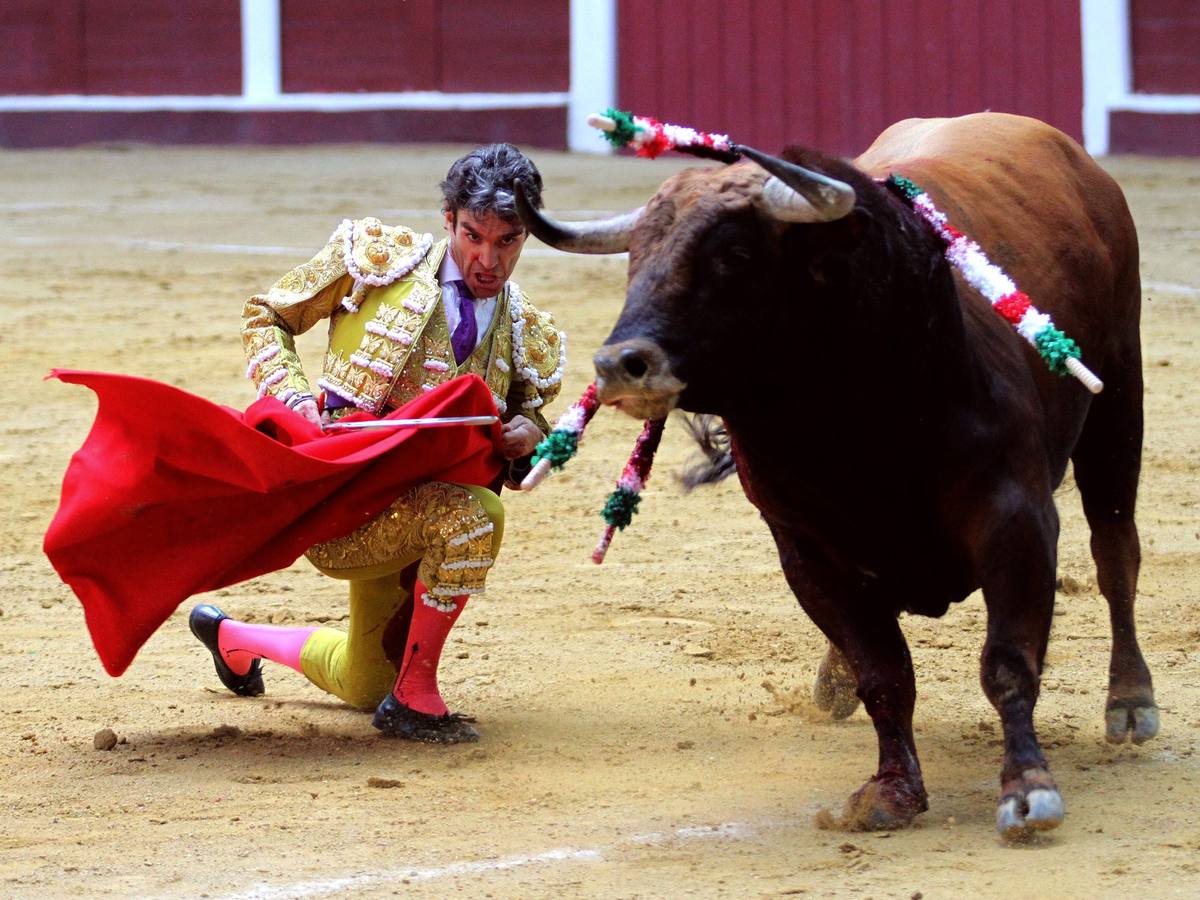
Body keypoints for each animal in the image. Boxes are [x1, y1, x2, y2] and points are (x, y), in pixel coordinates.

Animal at [520, 112, 1156, 840]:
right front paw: (891, 792)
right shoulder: (808, 554)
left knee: (1115, 552)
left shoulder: (1017, 521)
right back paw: (836, 682)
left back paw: (1131, 701)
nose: (619, 365)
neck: (852, 425)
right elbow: (884, 673)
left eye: (733, 256)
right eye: (635, 258)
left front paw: (1028, 789)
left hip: (1120, 395)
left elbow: (1008, 661)